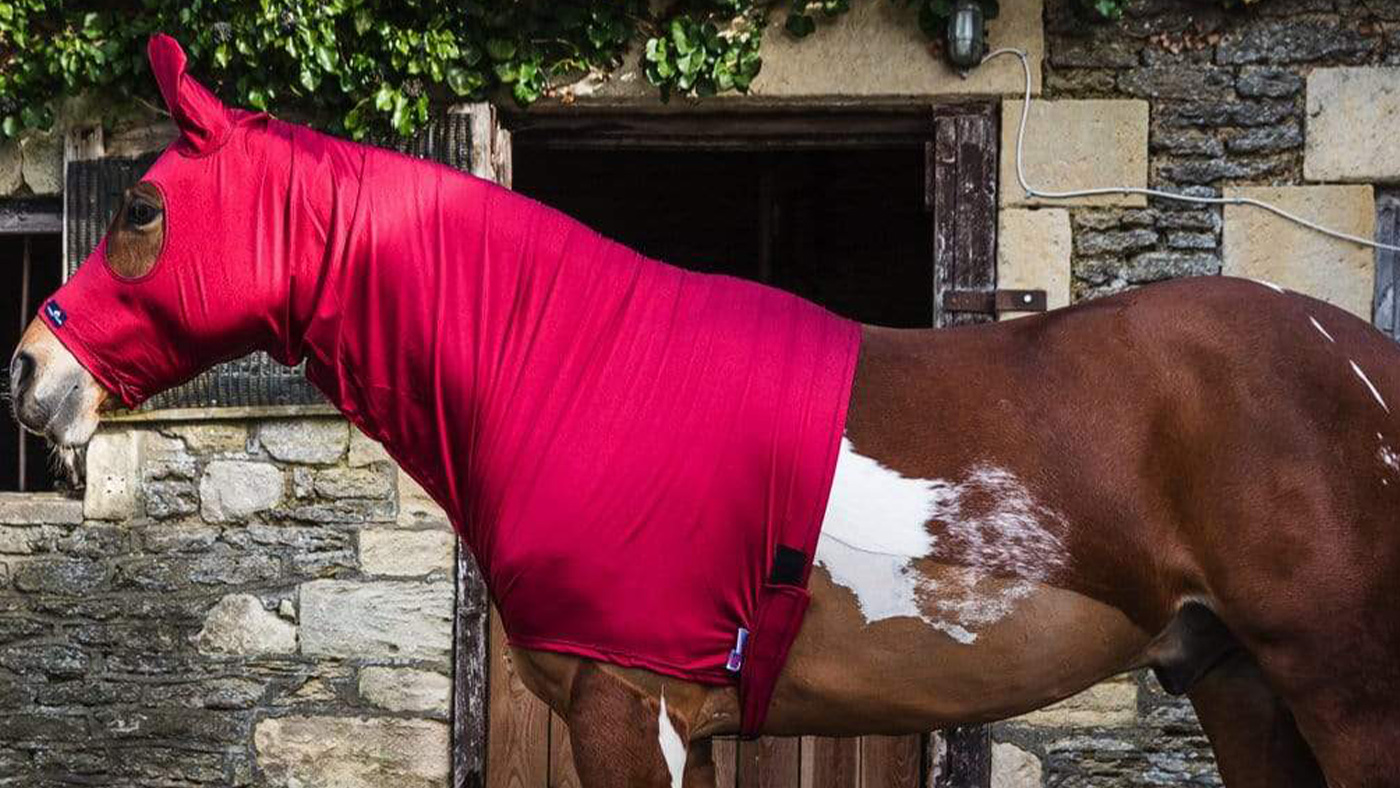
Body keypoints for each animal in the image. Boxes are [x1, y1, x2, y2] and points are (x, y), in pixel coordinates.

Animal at [10, 35, 1400, 788]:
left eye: (139, 205)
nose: (27, 371)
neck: (573, 366)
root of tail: (1359, 357)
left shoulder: (633, 704)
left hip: (1340, 690)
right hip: (1237, 681)